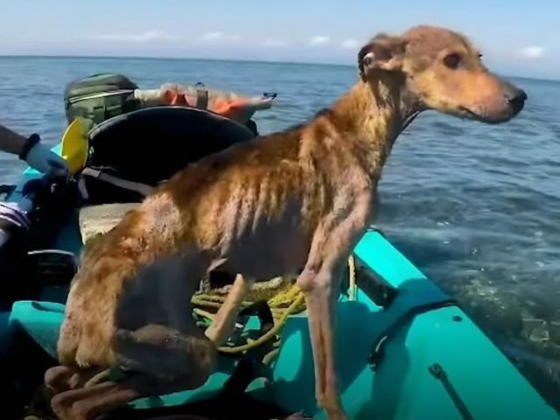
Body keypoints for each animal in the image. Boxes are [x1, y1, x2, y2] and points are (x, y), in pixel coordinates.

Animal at [46, 25, 528, 420]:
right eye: (451, 60)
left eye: (478, 56)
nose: (519, 98)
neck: (355, 128)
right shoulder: (321, 276)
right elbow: (328, 384)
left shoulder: (256, 267)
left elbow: (239, 297)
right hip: (187, 352)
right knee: (76, 401)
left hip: (138, 355)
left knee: (62, 388)